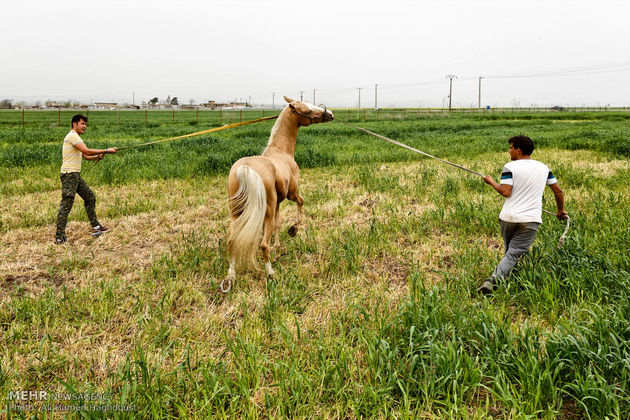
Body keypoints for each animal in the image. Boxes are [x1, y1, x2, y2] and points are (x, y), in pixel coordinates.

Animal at [226, 97, 336, 290]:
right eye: (308, 110)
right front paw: (293, 229)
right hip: (266, 212)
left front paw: (277, 244)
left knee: (232, 241)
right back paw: (271, 272)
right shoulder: (292, 193)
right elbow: (301, 202)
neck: (281, 151)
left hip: (237, 214)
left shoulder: (278, 201)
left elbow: (278, 222)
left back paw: (231, 276)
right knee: (263, 244)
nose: (330, 114)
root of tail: (245, 170)